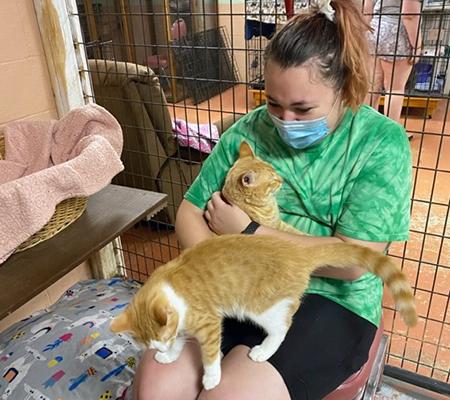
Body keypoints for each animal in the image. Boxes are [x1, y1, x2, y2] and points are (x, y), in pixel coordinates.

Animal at [110, 234, 418, 390]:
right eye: (154, 343)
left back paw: (263, 350)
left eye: (164, 337)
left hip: (260, 306)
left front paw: (211, 377)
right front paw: (169, 356)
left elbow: (210, 354)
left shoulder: (208, 322)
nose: (161, 348)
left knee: (284, 324)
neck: (170, 287)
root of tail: (297, 253)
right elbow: (180, 343)